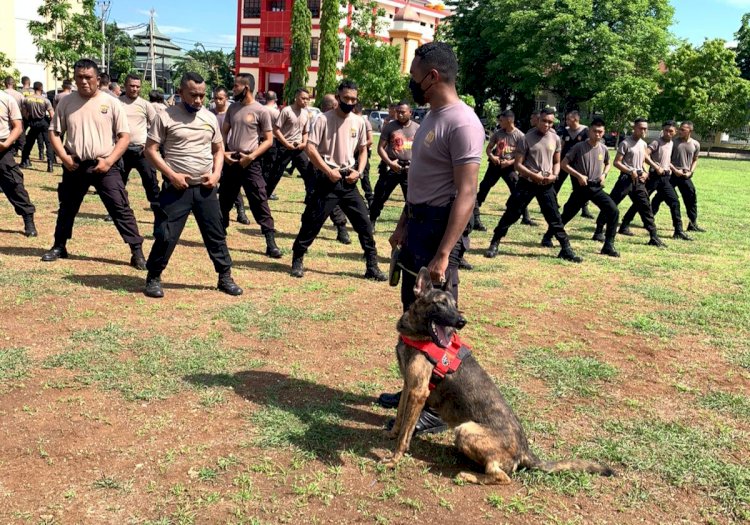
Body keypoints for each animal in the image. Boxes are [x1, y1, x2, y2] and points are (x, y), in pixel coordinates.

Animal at [382, 268, 616, 486]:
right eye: (440, 303)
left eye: (455, 305)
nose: (462, 321)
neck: (417, 335)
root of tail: (524, 450)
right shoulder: (409, 385)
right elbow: (401, 416)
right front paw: (392, 433)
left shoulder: (419, 391)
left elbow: (405, 436)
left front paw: (394, 460)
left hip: (466, 430)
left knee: (502, 476)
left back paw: (468, 475)